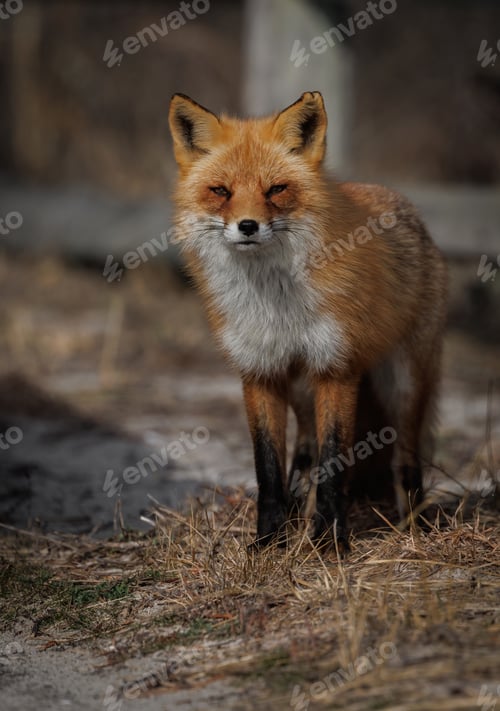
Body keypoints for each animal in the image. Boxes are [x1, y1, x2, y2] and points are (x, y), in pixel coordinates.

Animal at [168, 91, 448, 551]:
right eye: (221, 192)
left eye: (276, 190)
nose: (247, 226)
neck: (275, 303)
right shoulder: (259, 372)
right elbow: (268, 469)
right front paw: (269, 541)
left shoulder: (337, 370)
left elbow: (335, 465)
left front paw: (331, 542)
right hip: (302, 386)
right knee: (304, 451)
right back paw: (300, 508)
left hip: (403, 383)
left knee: (405, 460)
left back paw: (415, 527)